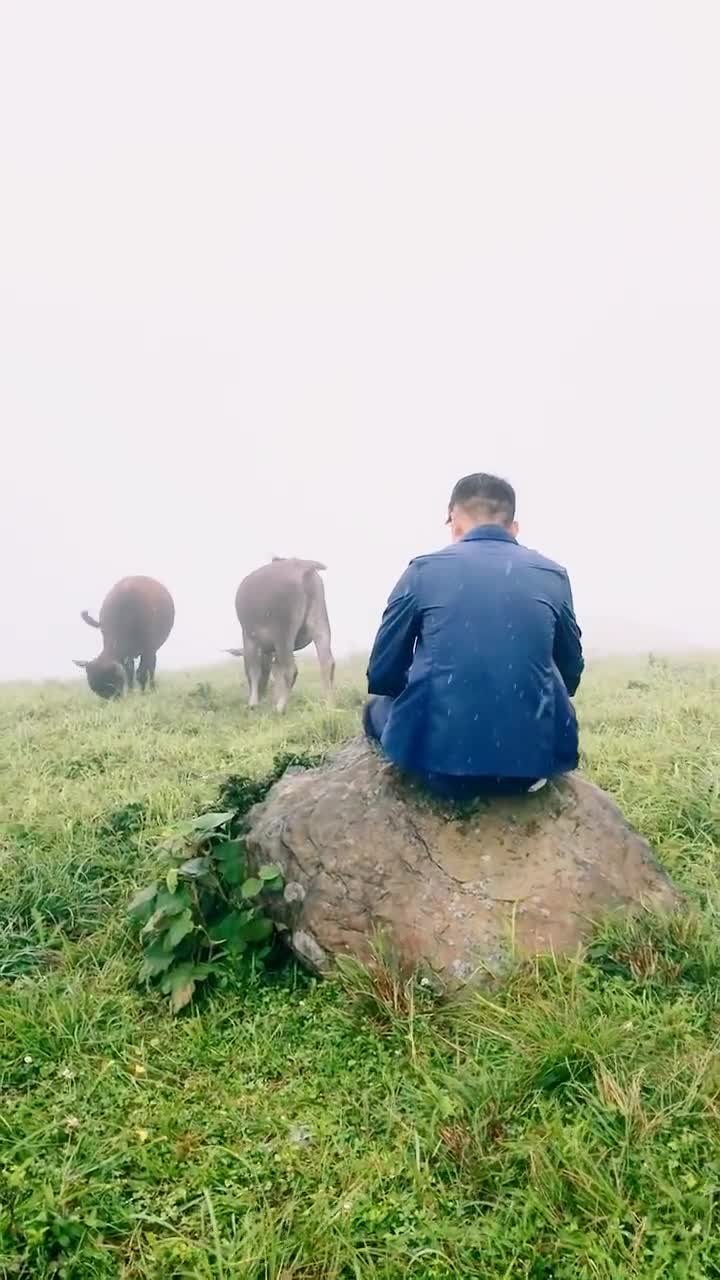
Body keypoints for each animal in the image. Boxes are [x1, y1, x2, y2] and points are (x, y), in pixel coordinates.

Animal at [225, 552, 335, 711]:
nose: (263, 694)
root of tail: (303, 565)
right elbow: (276, 670)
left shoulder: (249, 637)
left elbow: (253, 670)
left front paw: (253, 703)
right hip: (320, 622)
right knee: (327, 662)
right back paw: (329, 705)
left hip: (283, 633)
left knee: (291, 669)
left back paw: (280, 707)